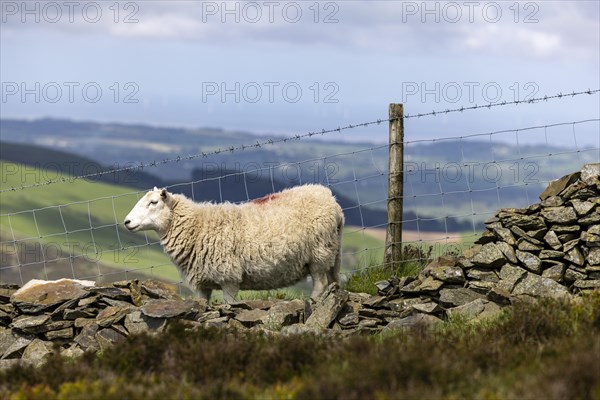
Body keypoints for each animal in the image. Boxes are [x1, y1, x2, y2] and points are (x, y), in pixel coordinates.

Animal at [123, 184, 342, 304]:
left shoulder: (229, 277)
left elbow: (228, 304)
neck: (197, 226)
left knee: (320, 284)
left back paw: (312, 302)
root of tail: (331, 199)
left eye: (153, 203)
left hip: (319, 254)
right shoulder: (202, 284)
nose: (127, 222)